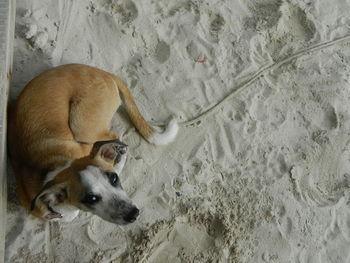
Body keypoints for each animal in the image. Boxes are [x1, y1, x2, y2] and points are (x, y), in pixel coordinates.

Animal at [7, 64, 178, 225]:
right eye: (91, 199)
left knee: (115, 138)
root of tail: (106, 74)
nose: (134, 214)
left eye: (114, 179)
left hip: (82, 126)